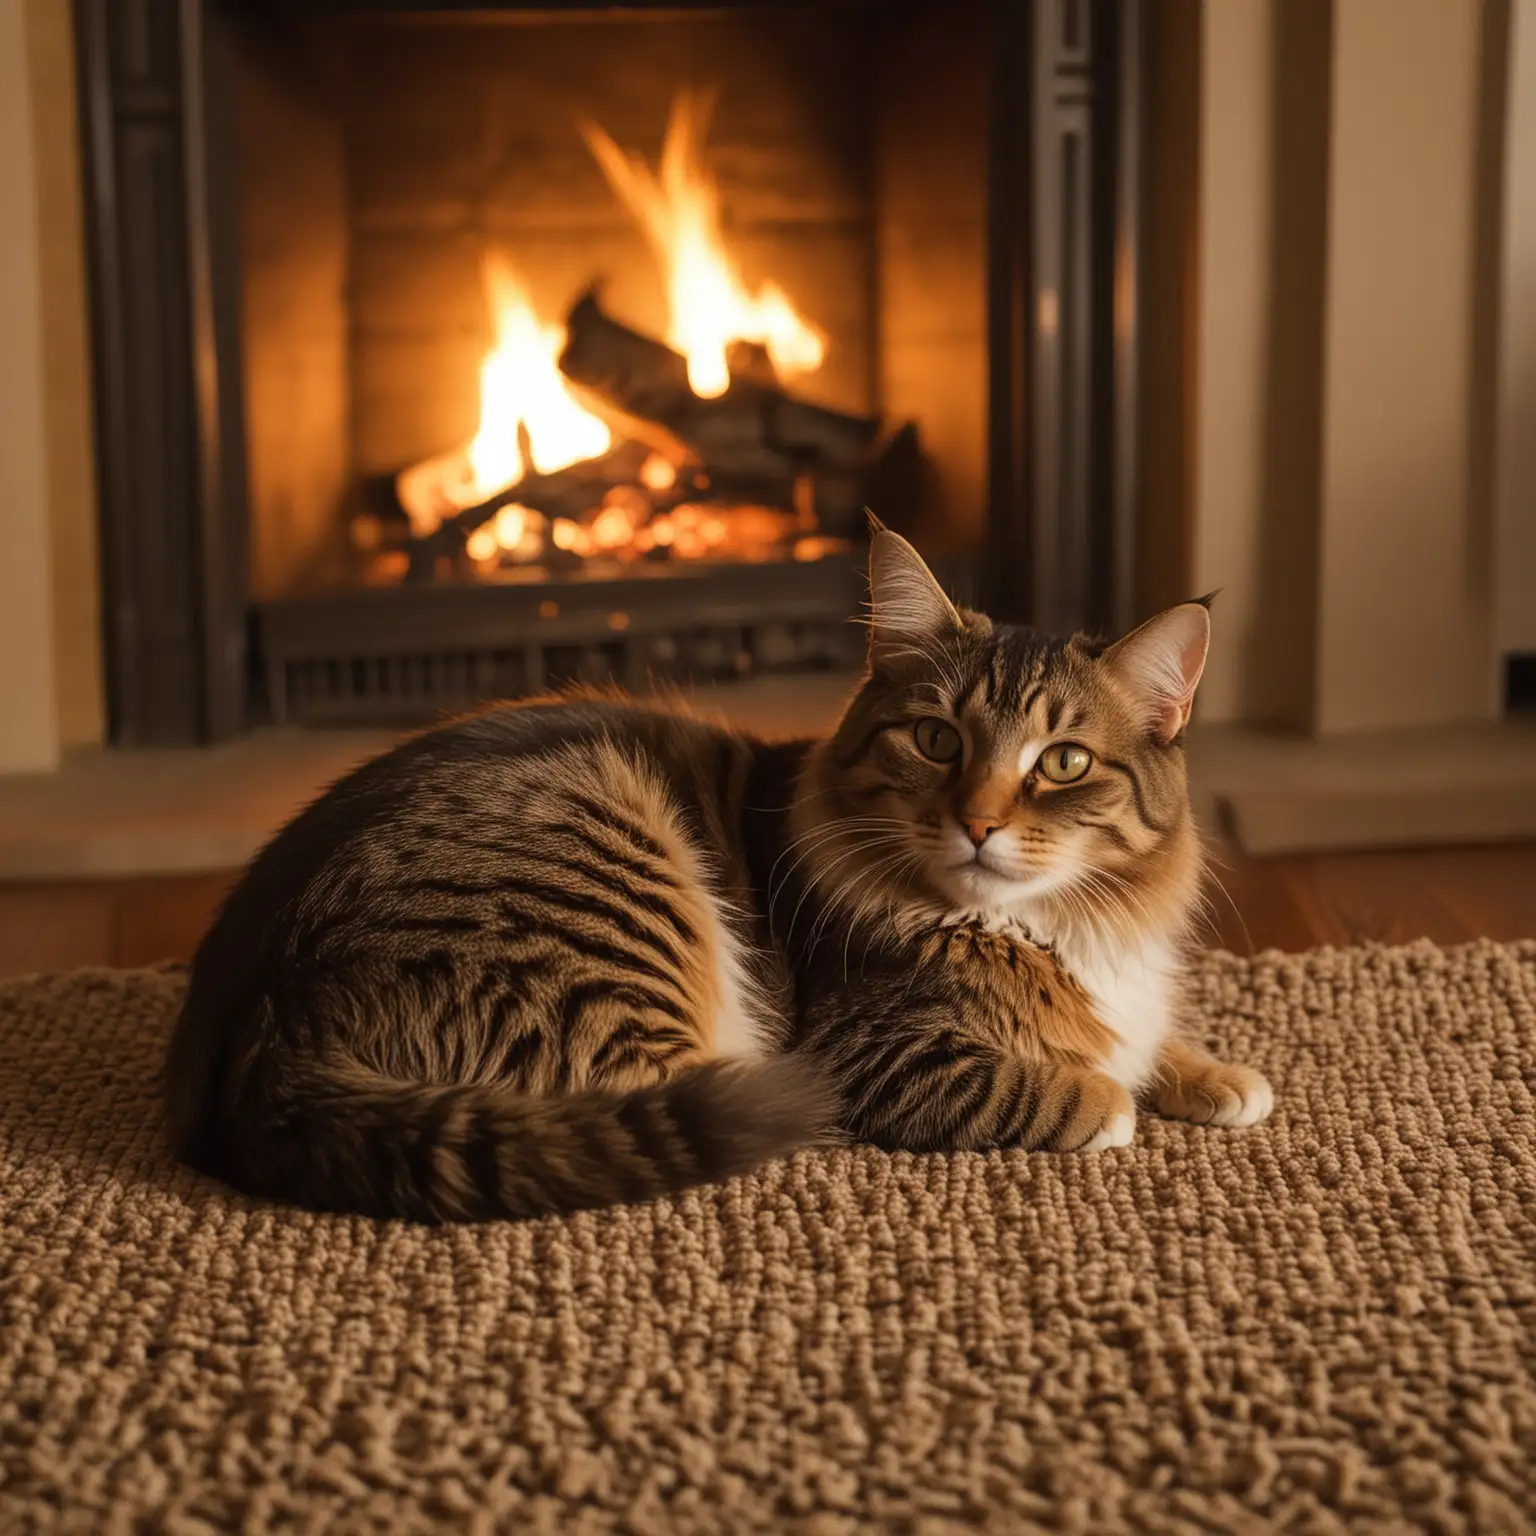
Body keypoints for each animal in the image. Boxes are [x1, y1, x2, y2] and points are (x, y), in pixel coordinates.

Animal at [168, 528, 1271, 1222]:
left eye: (1065, 763)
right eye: (936, 740)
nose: (979, 823)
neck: (1049, 922)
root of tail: (266, 1021)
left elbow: (1153, 1037)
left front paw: (1220, 1077)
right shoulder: (878, 1047)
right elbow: (1054, 1083)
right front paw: (1113, 1101)